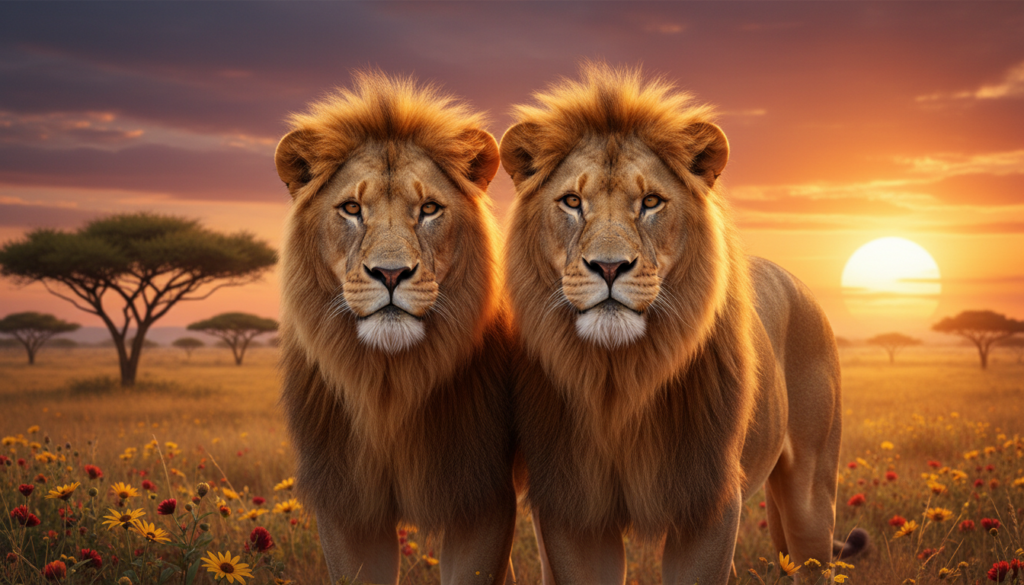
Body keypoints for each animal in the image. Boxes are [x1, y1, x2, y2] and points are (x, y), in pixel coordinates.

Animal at [274, 72, 518, 585]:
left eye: (429, 209)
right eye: (351, 209)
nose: (390, 274)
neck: (389, 383)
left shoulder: (481, 494)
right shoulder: (347, 504)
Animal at [499, 63, 867, 585]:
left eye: (651, 202)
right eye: (571, 201)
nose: (609, 267)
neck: (620, 379)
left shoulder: (708, 501)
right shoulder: (574, 508)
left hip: (812, 493)